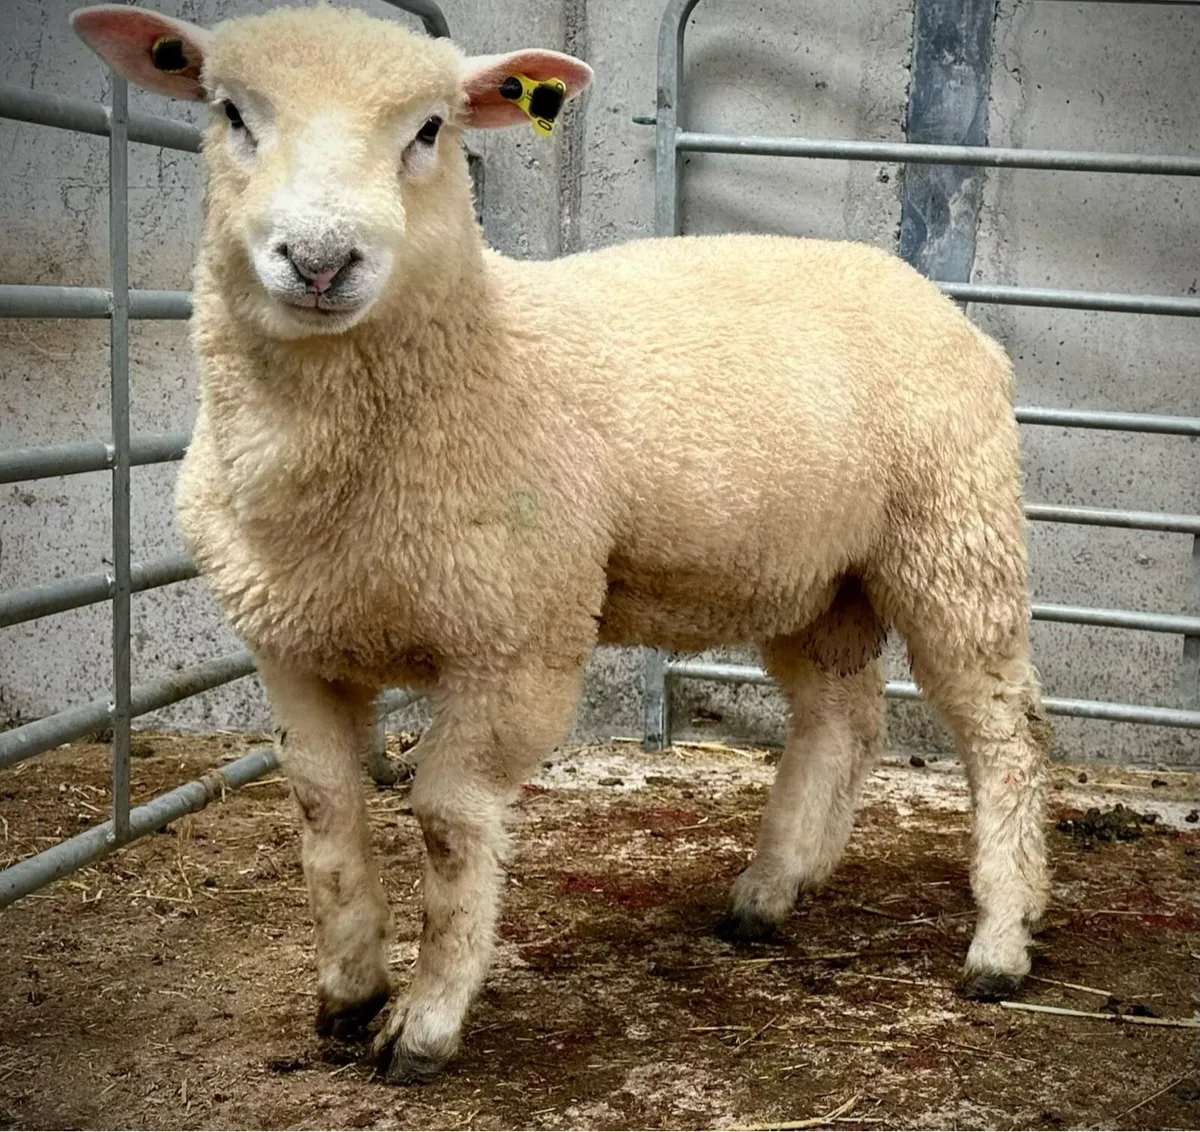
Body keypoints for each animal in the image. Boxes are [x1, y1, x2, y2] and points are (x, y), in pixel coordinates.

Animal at [72, 3, 1050, 1084]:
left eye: (430, 129)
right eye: (231, 112)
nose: (322, 260)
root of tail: (939, 302)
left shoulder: (519, 638)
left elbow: (450, 821)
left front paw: (425, 1024)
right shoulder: (290, 641)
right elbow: (325, 813)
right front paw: (348, 992)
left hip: (955, 533)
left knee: (1002, 728)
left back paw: (1000, 940)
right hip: (819, 571)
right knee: (840, 719)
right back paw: (771, 889)